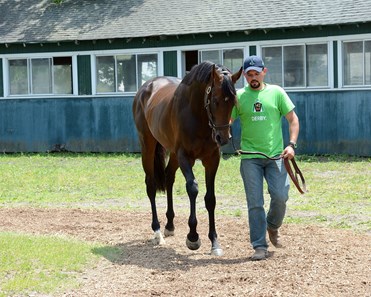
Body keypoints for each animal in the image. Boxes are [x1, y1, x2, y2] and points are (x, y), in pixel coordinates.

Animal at [132, 61, 243, 254]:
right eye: (215, 100)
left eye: (233, 102)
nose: (222, 137)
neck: (197, 115)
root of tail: (146, 87)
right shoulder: (185, 157)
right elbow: (193, 189)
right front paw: (193, 237)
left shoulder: (212, 160)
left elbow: (210, 198)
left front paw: (214, 242)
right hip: (148, 146)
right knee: (151, 185)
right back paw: (157, 231)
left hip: (173, 154)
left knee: (169, 177)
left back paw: (169, 225)